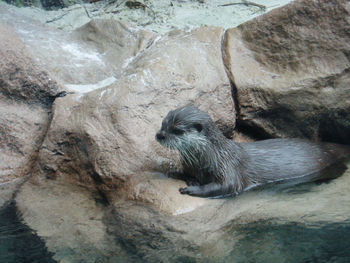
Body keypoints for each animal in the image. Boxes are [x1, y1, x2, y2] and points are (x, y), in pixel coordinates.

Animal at [156, 105, 350, 198]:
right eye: (163, 123)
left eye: (177, 130)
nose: (159, 135)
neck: (211, 156)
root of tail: (326, 146)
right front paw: (187, 177)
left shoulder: (229, 168)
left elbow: (227, 186)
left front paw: (193, 189)